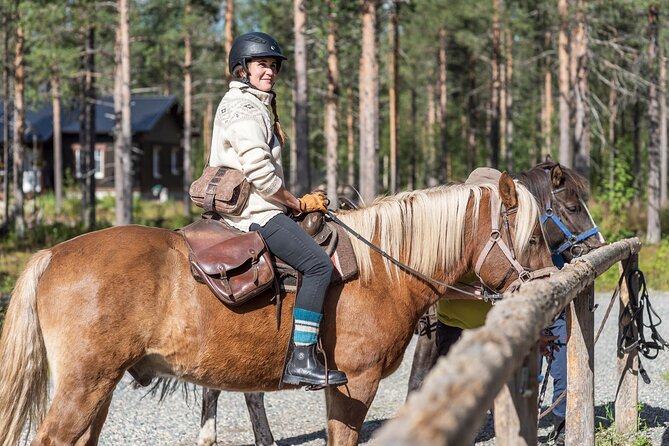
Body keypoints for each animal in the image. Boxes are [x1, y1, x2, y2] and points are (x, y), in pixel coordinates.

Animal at [0, 173, 554, 446]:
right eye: (531, 237)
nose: (550, 283)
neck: (382, 268)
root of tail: (52, 255)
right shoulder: (356, 383)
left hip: (99, 386)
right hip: (84, 386)